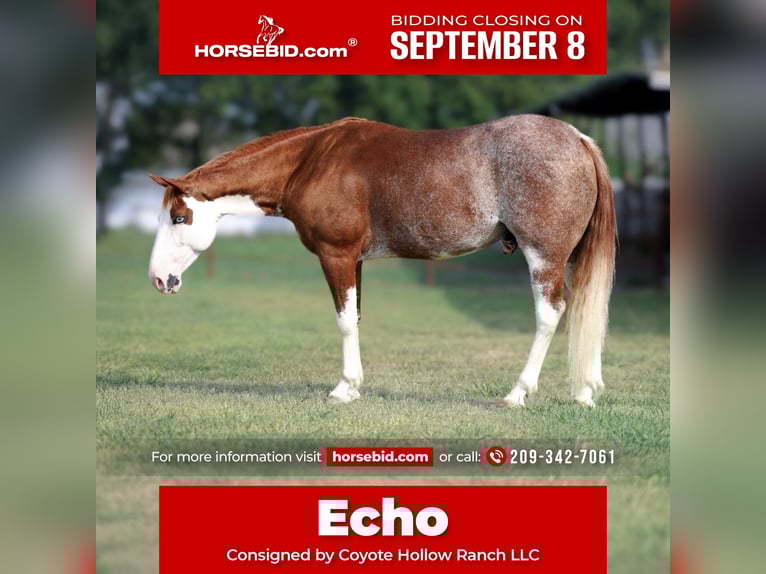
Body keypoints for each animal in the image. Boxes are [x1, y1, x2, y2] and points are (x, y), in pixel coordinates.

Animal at [148, 116, 616, 408]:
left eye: (179, 217)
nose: (158, 279)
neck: (311, 161)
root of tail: (578, 140)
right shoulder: (354, 260)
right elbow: (354, 317)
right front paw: (354, 386)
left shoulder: (336, 255)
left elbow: (342, 321)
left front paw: (344, 388)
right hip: (569, 258)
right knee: (585, 308)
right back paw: (585, 392)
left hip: (544, 256)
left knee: (549, 314)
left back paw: (519, 393)